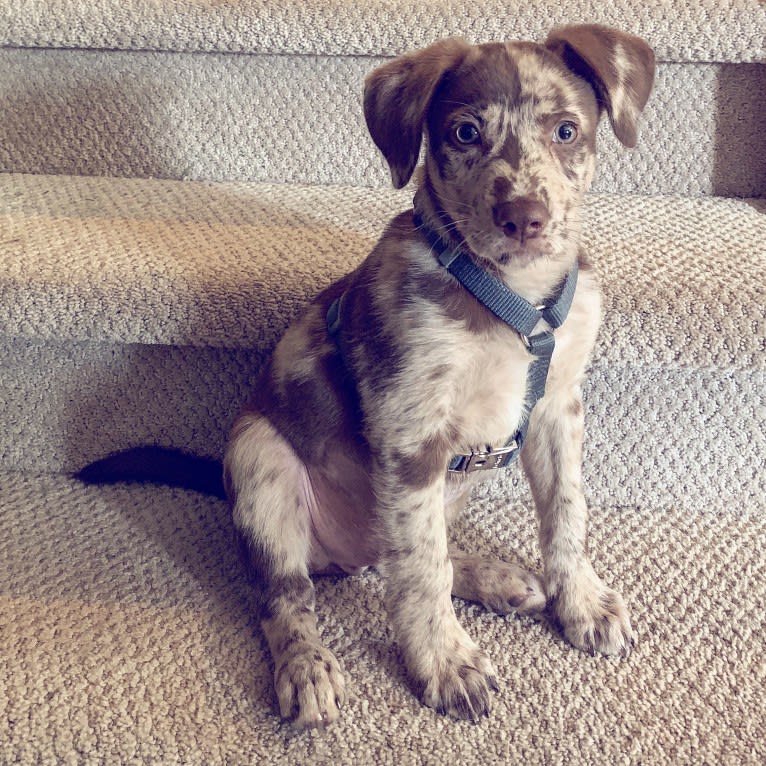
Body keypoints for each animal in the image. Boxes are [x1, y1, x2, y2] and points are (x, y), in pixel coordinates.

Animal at [79, 25, 656, 732]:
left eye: (566, 131)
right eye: (465, 133)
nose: (524, 218)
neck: (513, 298)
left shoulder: (556, 410)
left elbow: (565, 513)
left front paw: (580, 602)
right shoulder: (410, 436)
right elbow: (423, 572)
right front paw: (444, 662)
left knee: (397, 554)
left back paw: (494, 577)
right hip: (261, 463)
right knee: (290, 596)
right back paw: (307, 668)